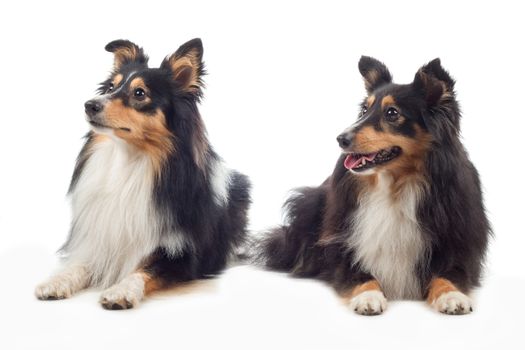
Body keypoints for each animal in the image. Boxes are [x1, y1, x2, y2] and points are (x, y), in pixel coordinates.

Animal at [35, 39, 252, 310]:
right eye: (111, 86)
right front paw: (57, 281)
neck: (130, 160)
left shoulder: (183, 254)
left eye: (139, 93)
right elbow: (80, 263)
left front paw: (121, 291)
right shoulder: (100, 238)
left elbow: (146, 268)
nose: (89, 105)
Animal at [256, 56, 490, 314]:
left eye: (392, 113)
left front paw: (452, 296)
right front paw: (368, 296)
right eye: (364, 110)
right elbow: (359, 273)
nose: (341, 139)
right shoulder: (343, 245)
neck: (395, 187)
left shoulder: (458, 246)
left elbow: (449, 274)